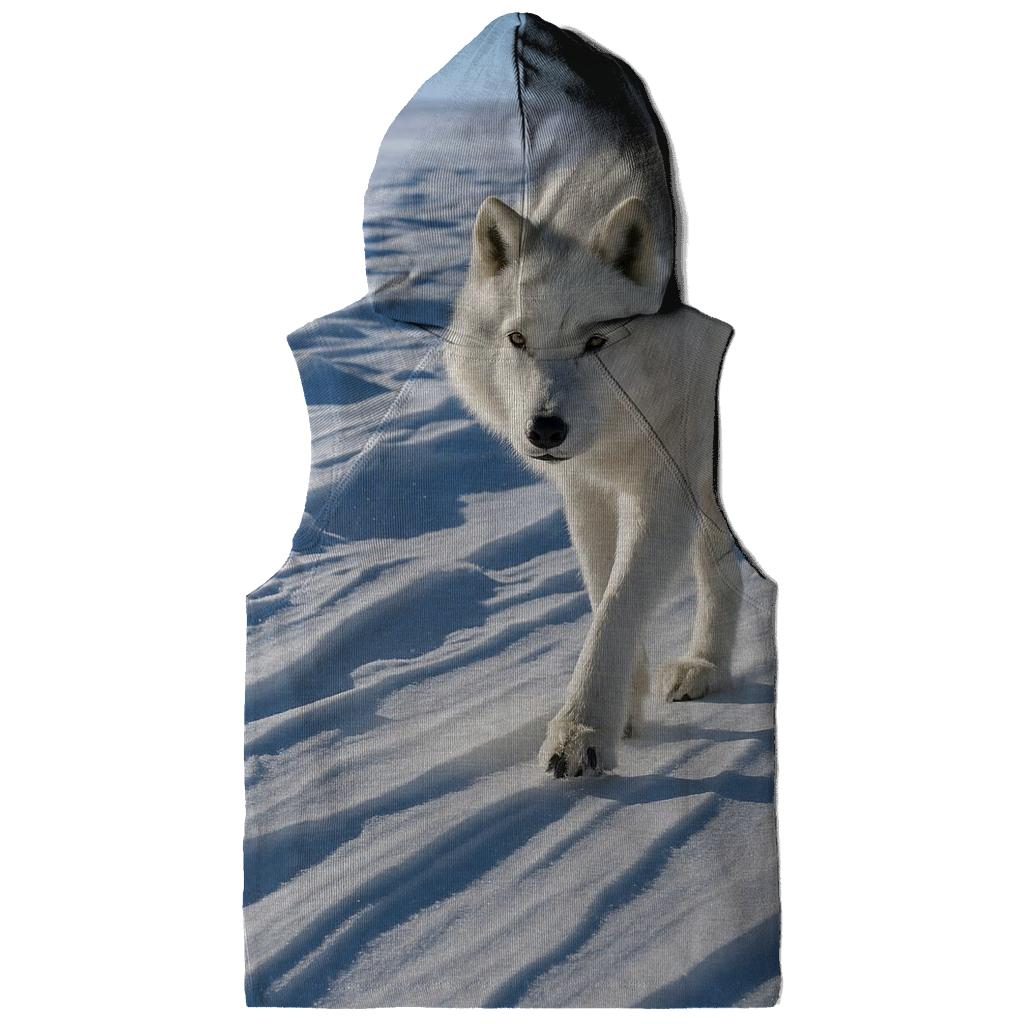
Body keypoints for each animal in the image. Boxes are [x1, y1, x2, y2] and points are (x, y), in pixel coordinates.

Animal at [443, 195, 742, 778]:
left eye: (596, 341)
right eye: (518, 339)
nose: (545, 430)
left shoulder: (668, 485)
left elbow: (617, 607)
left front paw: (579, 733)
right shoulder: (588, 490)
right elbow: (603, 590)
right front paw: (622, 713)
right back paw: (703, 667)